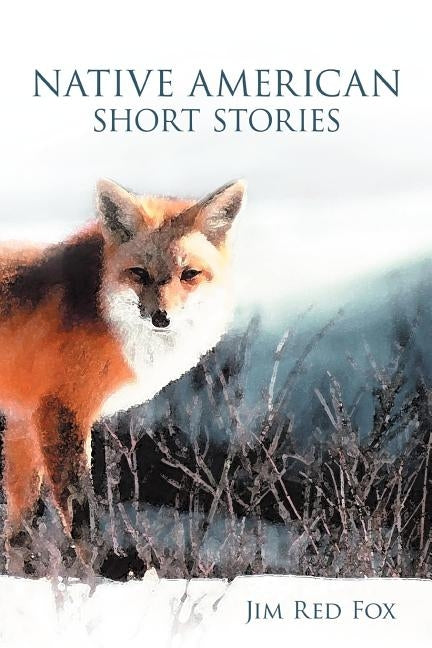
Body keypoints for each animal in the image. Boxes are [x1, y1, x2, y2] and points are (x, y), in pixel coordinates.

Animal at [0, 178, 245, 563]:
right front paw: (95, 572)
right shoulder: (60, 412)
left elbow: (19, 531)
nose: (161, 318)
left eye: (189, 275)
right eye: (139, 274)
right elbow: (81, 516)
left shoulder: (23, 419)